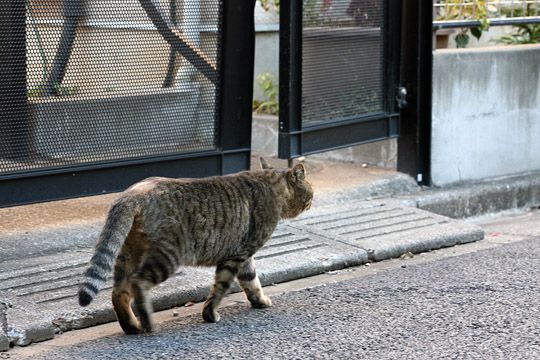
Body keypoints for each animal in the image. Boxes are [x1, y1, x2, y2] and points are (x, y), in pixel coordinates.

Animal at [76, 161, 312, 334]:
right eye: (309, 192)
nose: (311, 201)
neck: (270, 183)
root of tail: (132, 193)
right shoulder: (237, 255)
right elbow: (221, 288)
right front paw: (210, 314)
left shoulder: (244, 256)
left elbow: (252, 282)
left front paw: (260, 301)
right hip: (167, 255)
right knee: (138, 283)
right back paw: (147, 323)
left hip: (128, 254)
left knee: (118, 292)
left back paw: (131, 327)